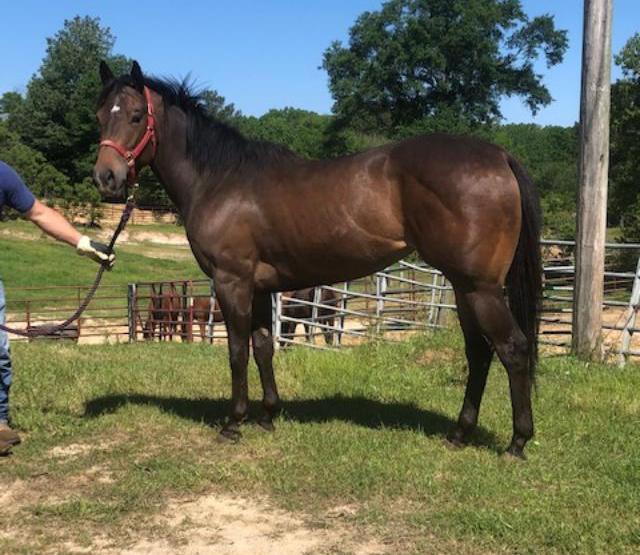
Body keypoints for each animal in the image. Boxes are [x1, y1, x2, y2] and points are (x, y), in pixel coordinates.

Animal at [94, 61, 541, 459]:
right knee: (479, 352)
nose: (106, 177)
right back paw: (460, 434)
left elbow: (237, 351)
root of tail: (498, 156)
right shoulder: (260, 288)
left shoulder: (231, 281)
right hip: (464, 287)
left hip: (481, 289)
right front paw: (268, 416)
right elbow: (264, 346)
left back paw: (517, 443)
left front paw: (234, 423)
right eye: (100, 115)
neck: (219, 179)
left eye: (136, 116)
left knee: (513, 348)